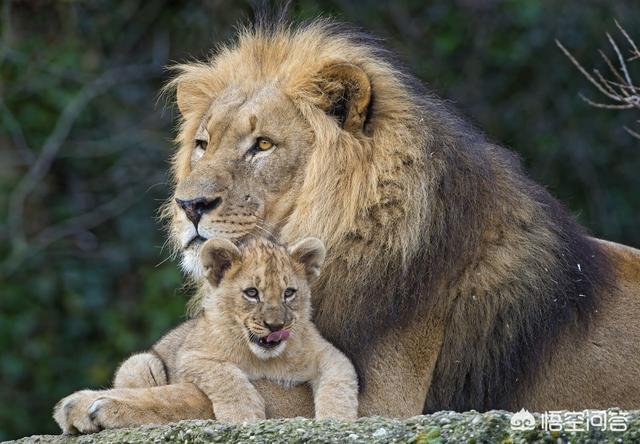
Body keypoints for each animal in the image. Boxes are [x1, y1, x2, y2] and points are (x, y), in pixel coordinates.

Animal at [55, 18, 640, 430]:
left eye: (262, 145)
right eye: (203, 143)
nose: (189, 205)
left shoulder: (382, 399)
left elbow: (222, 392)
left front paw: (98, 401)